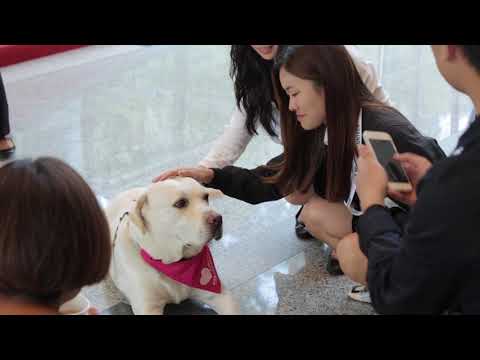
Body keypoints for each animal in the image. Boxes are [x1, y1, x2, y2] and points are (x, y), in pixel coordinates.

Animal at [106, 177, 239, 316]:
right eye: (180, 203)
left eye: (205, 197)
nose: (218, 219)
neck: (173, 263)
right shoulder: (148, 307)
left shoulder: (220, 295)